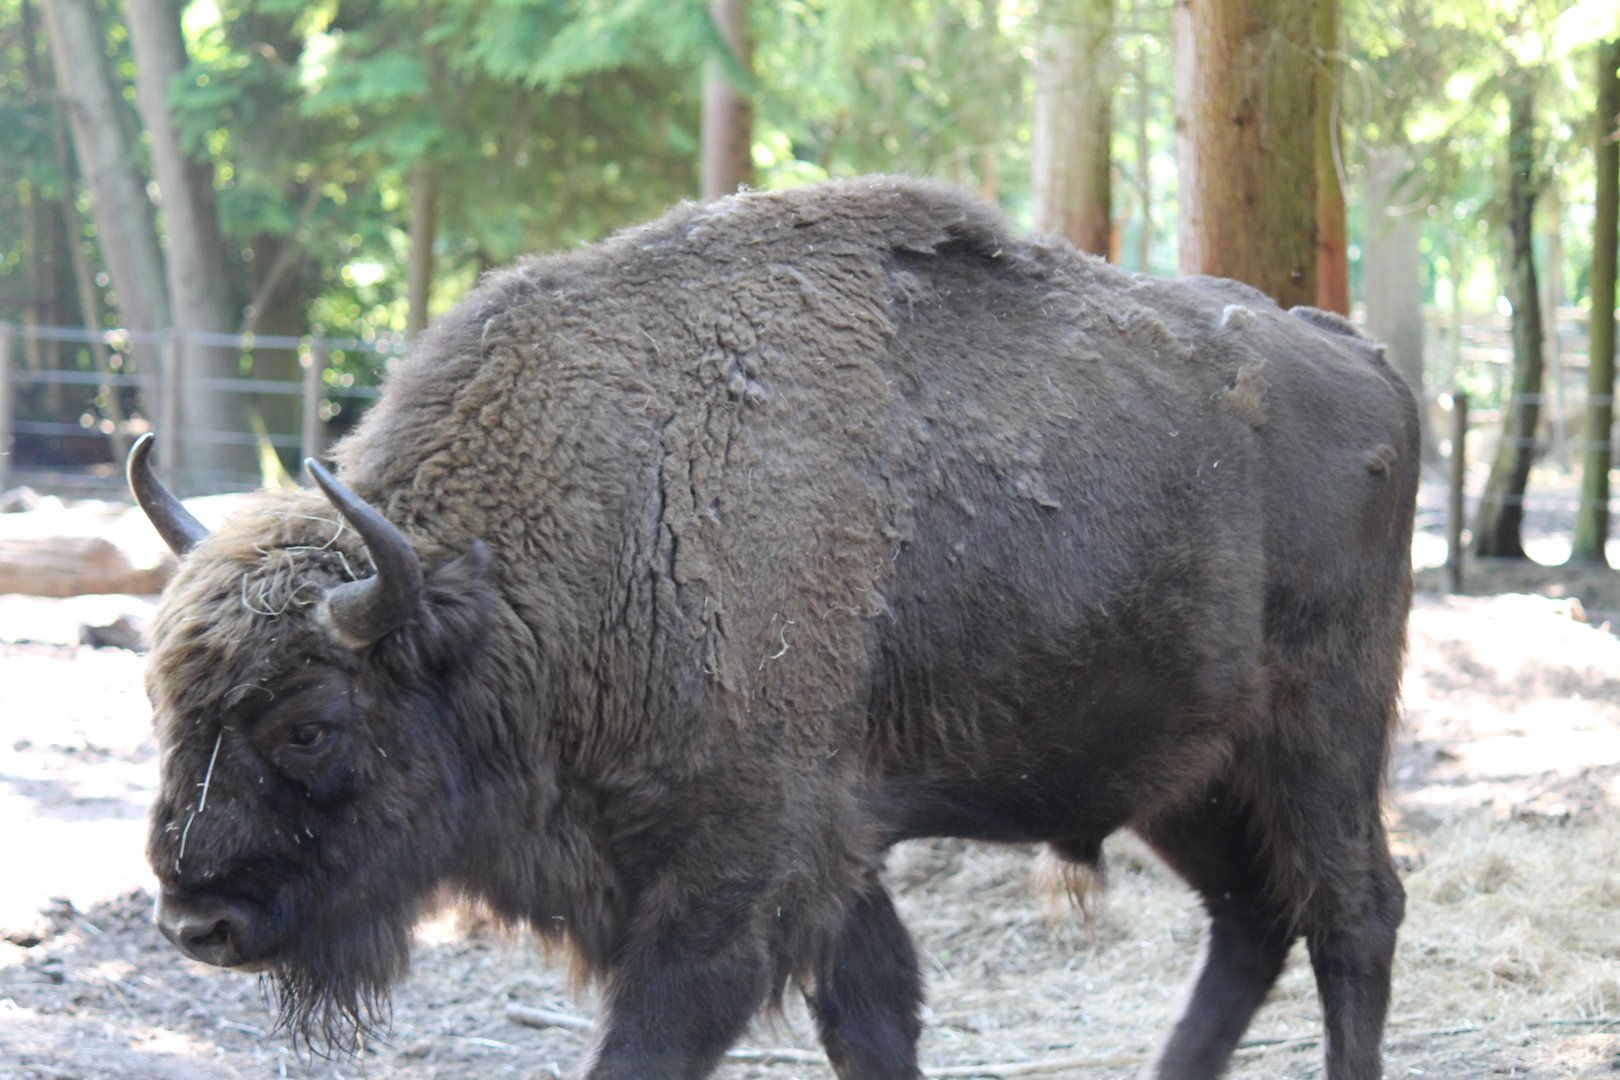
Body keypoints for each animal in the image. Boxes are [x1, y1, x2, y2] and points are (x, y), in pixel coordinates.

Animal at [131, 177, 1419, 1079]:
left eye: (309, 724)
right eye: (165, 709)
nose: (198, 918)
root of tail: (1362, 357)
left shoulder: (738, 875)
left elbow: (667, 1038)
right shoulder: (822, 863)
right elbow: (874, 1015)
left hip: (1320, 732)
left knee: (1352, 911)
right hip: (1182, 773)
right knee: (1251, 919)